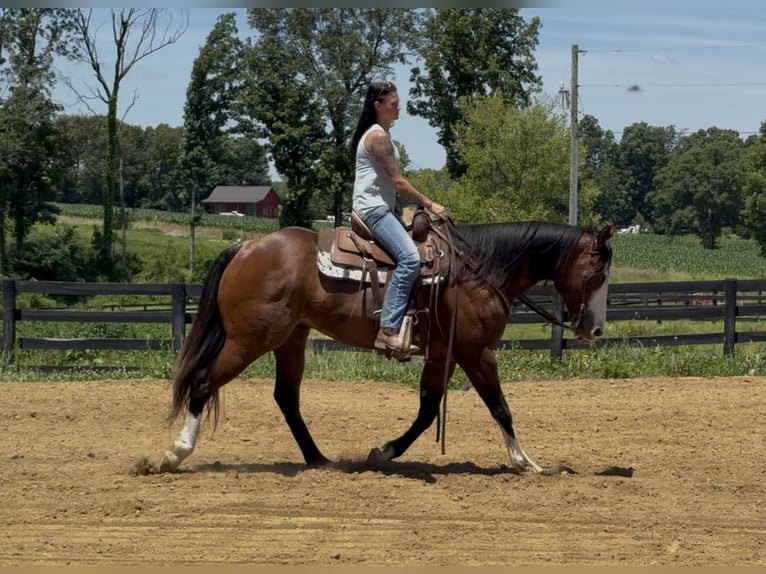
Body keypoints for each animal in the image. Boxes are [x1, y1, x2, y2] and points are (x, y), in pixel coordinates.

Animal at [159, 219, 614, 475]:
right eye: (596, 273)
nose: (595, 330)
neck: (478, 271)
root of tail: (246, 247)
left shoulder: (444, 355)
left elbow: (428, 410)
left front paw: (383, 453)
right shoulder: (476, 352)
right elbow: (500, 406)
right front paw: (527, 462)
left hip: (291, 340)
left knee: (286, 397)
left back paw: (319, 460)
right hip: (251, 339)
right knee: (204, 382)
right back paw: (174, 454)